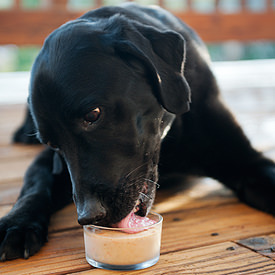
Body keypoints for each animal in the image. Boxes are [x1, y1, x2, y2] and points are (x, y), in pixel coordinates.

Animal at [0, 2, 275, 260]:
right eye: (52, 143)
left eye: (93, 114)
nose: (89, 216)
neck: (168, 143)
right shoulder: (49, 162)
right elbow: (35, 185)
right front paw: (17, 224)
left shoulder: (244, 159)